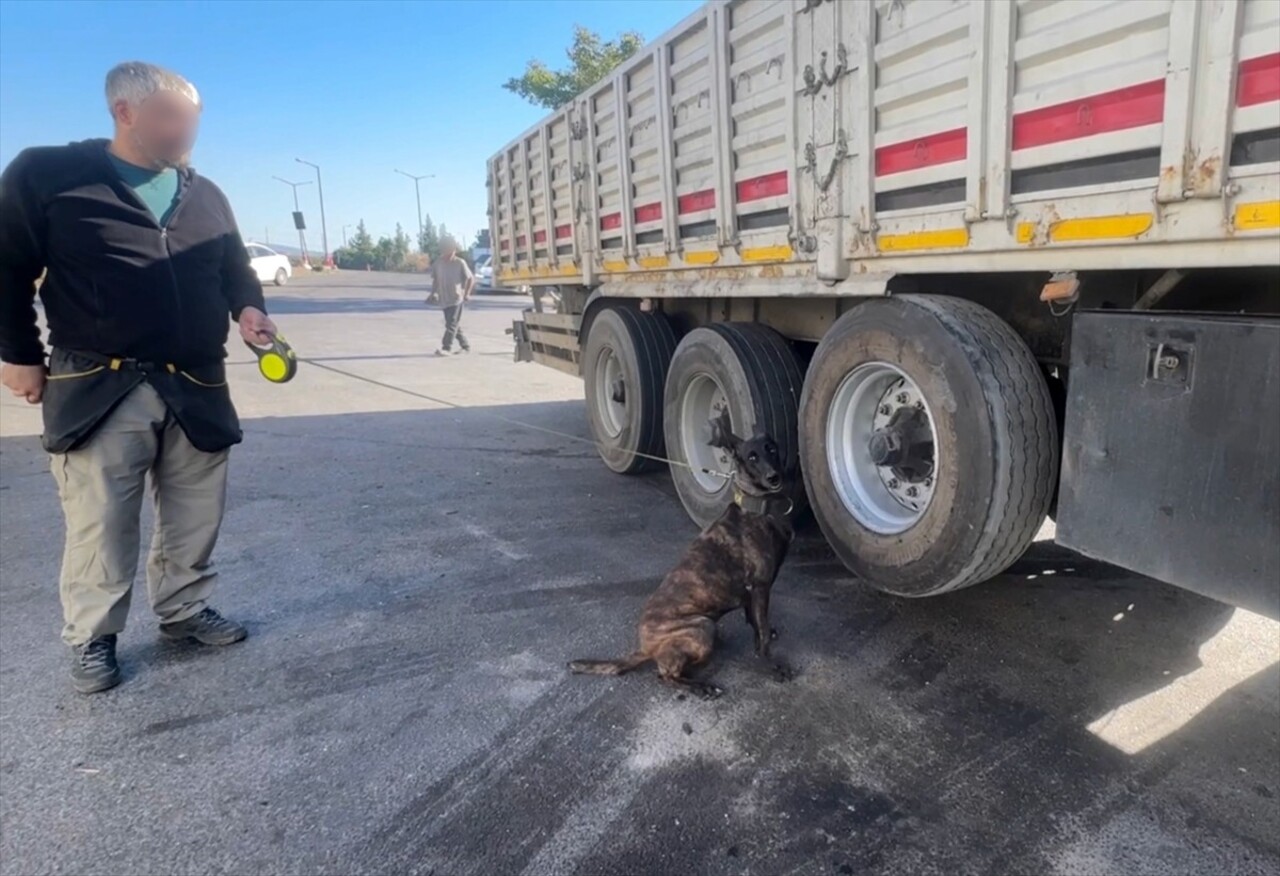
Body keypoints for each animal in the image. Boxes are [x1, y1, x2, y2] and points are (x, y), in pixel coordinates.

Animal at [568, 409, 788, 696]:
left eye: (771, 449)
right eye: (752, 457)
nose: (774, 477)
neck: (755, 506)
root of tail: (644, 647)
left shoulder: (753, 594)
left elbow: (755, 623)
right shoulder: (760, 586)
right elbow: (761, 633)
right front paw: (769, 665)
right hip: (702, 626)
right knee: (664, 675)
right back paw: (701, 687)